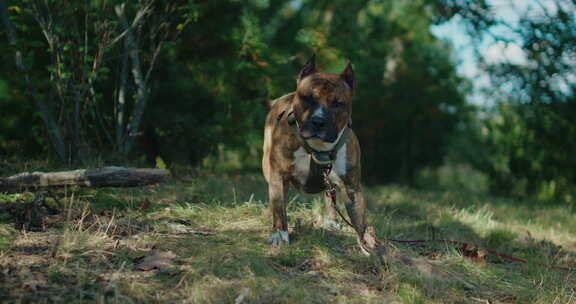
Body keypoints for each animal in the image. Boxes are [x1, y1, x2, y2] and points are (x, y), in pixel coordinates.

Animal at [262, 54, 378, 254]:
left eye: (338, 104)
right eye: (307, 98)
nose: (318, 121)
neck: (318, 148)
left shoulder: (352, 187)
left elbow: (359, 220)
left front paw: (366, 246)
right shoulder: (278, 175)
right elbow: (278, 207)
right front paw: (280, 235)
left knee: (330, 196)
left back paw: (331, 222)